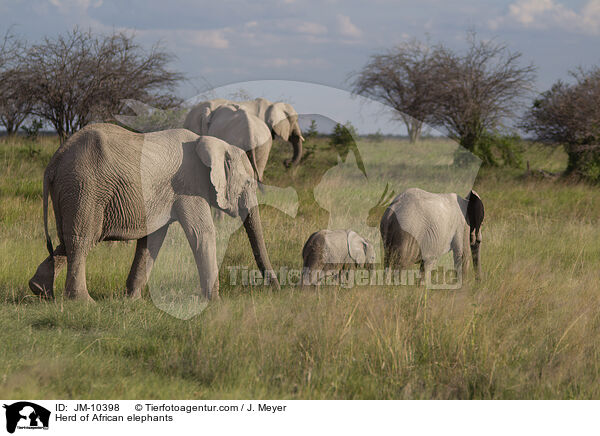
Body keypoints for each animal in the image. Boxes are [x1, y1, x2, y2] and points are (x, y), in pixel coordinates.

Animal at [29, 122, 280, 300]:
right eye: (248, 183)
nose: (276, 289)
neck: (212, 143)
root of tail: (55, 161)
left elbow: (152, 240)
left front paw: (132, 300)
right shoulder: (189, 186)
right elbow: (202, 232)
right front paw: (215, 303)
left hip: (71, 191)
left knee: (67, 239)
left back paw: (39, 290)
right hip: (85, 188)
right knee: (82, 239)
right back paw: (83, 301)